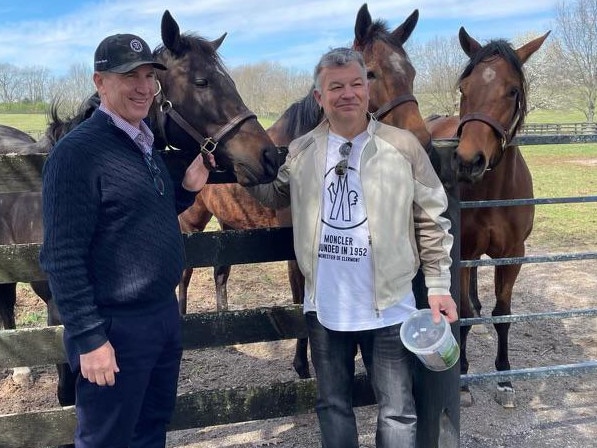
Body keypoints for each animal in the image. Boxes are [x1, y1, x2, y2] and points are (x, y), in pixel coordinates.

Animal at [424, 26, 548, 408]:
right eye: (465, 88)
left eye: (512, 90)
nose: (468, 161)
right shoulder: (462, 252)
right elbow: (460, 313)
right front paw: (463, 378)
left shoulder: (512, 255)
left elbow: (502, 314)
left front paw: (505, 379)